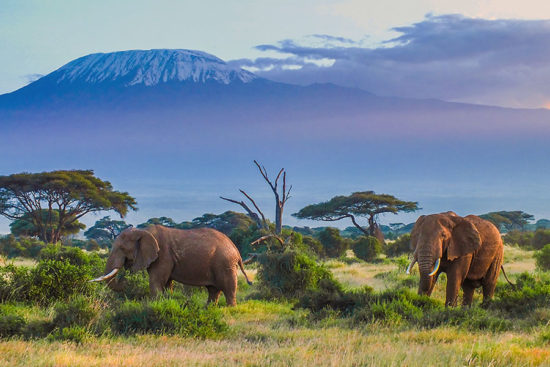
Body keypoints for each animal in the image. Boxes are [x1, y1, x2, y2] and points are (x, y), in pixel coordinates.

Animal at [91, 226, 254, 306]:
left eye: (122, 248)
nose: (125, 281)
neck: (143, 231)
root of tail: (236, 250)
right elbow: (167, 283)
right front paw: (166, 302)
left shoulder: (163, 255)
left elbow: (156, 281)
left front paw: (154, 305)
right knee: (213, 290)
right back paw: (208, 309)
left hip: (225, 263)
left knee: (228, 288)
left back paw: (230, 308)